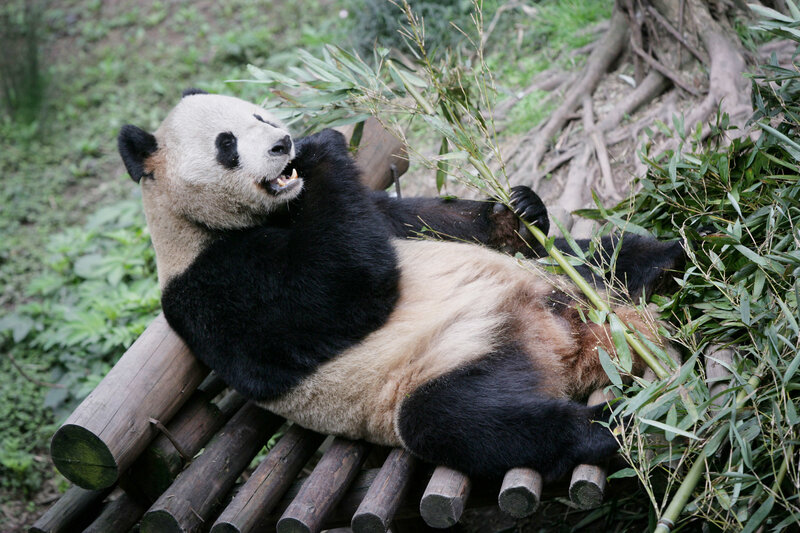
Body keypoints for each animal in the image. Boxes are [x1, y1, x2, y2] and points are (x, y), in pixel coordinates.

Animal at [118, 90, 683, 482]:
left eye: (261, 117)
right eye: (227, 144)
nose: (283, 145)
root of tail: (569, 340)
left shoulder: (369, 211)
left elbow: (422, 222)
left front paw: (519, 209)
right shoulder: (210, 287)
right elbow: (333, 293)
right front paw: (322, 149)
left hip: (561, 276)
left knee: (601, 256)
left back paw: (669, 259)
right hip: (449, 360)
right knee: (465, 422)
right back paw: (618, 423)